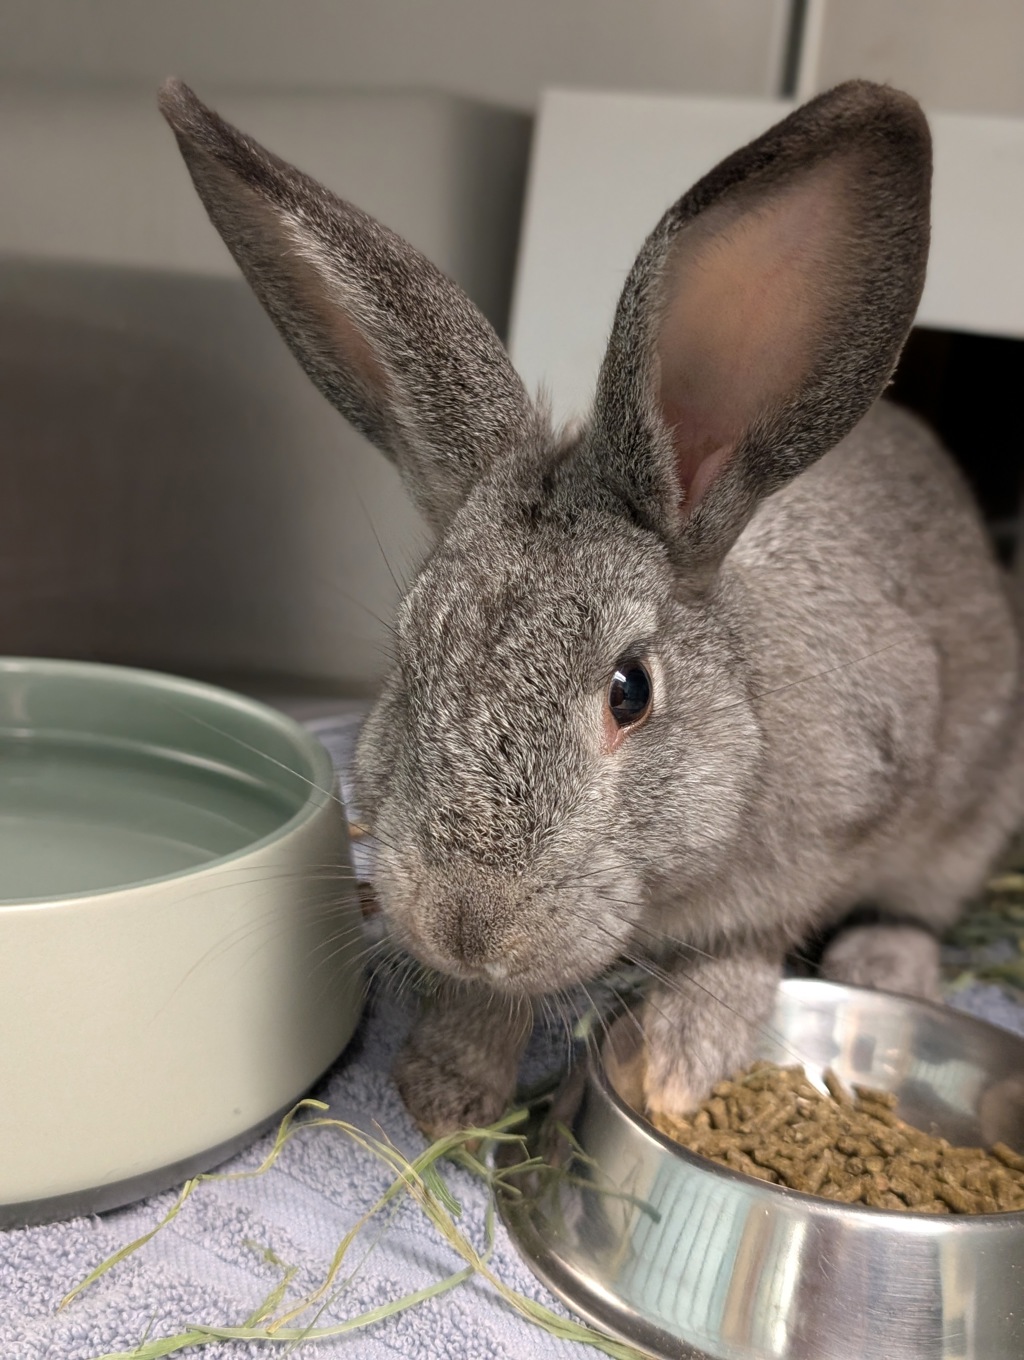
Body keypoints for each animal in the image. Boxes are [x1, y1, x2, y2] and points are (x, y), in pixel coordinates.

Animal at [159, 78, 1024, 1137]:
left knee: (915, 905)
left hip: (972, 808)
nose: (468, 924)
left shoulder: (835, 831)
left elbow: (743, 948)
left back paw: (885, 964)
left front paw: (683, 1063)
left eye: (630, 692)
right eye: (409, 663)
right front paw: (446, 1089)